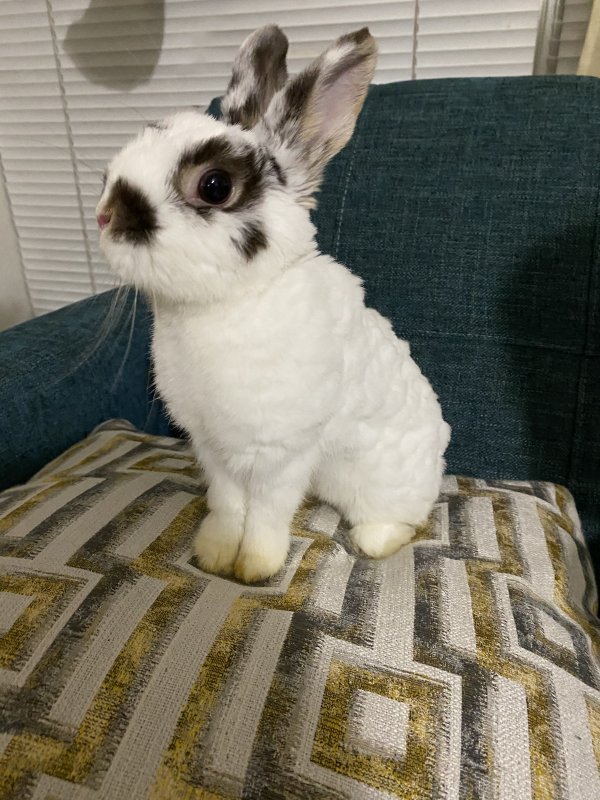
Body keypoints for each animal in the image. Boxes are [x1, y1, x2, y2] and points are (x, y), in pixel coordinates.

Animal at [97, 25, 451, 584]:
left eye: (215, 185)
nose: (105, 216)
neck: (224, 306)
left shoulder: (282, 453)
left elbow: (265, 511)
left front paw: (255, 568)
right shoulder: (212, 448)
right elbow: (226, 504)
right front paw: (214, 554)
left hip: (385, 482)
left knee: (403, 519)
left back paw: (374, 542)